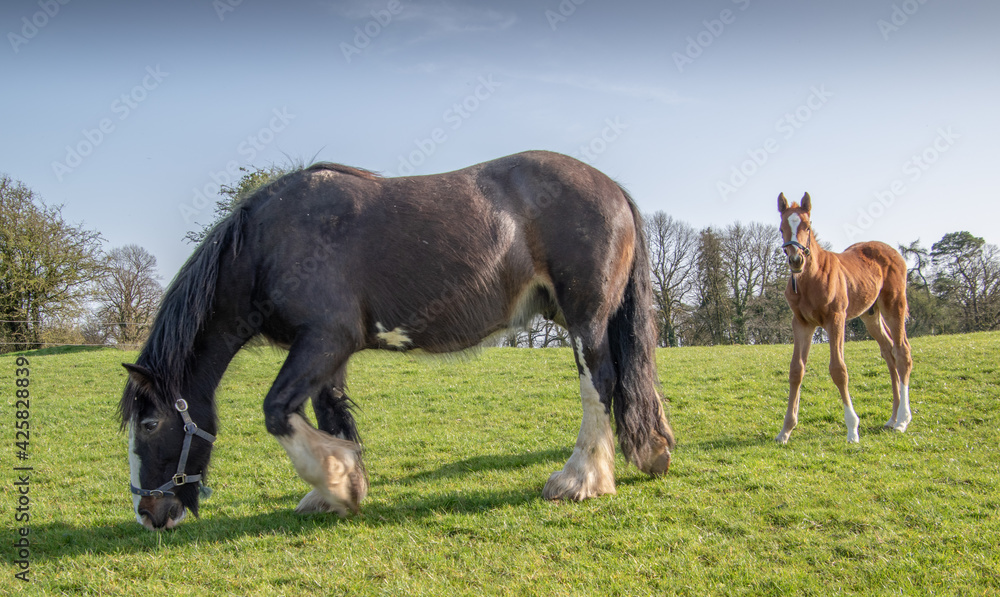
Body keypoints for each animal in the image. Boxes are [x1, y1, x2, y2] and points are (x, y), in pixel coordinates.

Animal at [119, 150, 675, 530]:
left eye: (149, 423)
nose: (148, 512)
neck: (270, 243)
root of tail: (611, 188)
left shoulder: (325, 339)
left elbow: (278, 411)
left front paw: (340, 481)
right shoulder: (327, 353)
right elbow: (329, 414)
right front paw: (339, 485)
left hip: (585, 319)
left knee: (599, 382)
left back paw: (581, 479)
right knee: (632, 379)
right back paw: (653, 450)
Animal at [775, 192, 913, 444]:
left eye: (807, 226)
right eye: (782, 229)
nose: (796, 260)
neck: (811, 277)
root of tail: (894, 252)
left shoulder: (835, 319)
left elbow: (839, 370)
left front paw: (852, 428)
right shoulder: (802, 323)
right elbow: (796, 370)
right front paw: (785, 430)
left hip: (894, 305)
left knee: (902, 353)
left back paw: (903, 420)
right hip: (871, 315)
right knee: (889, 352)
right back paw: (892, 418)